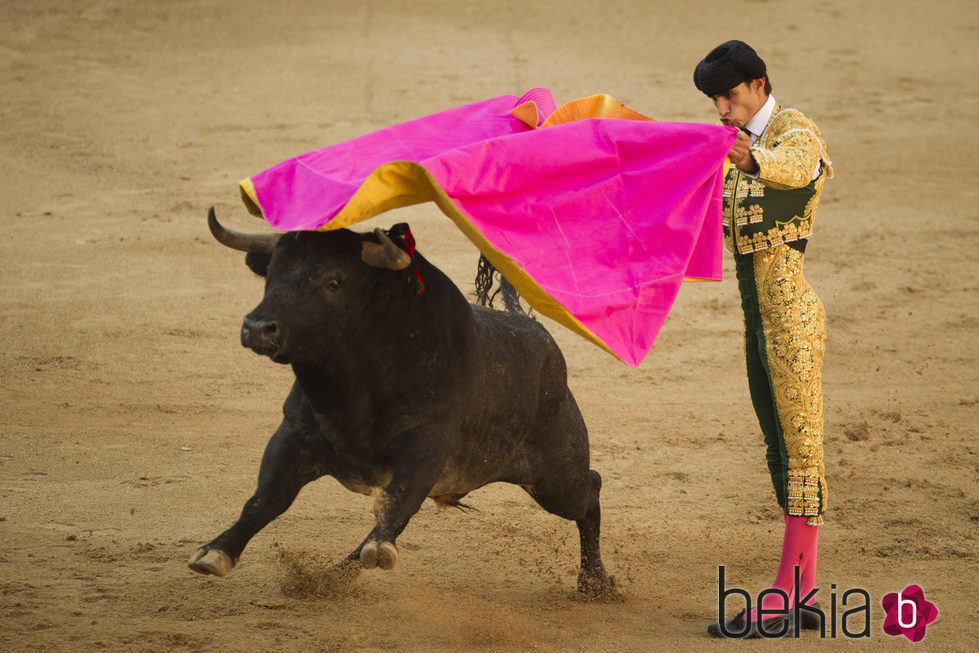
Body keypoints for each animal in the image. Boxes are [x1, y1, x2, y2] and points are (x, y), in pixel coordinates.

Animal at [189, 209, 616, 596]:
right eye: (271, 277)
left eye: (334, 281)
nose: (258, 328)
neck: (350, 389)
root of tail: (539, 331)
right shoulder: (292, 436)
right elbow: (266, 499)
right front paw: (214, 553)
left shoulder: (426, 444)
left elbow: (397, 500)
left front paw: (379, 549)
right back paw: (336, 574)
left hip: (555, 478)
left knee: (589, 491)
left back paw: (595, 583)